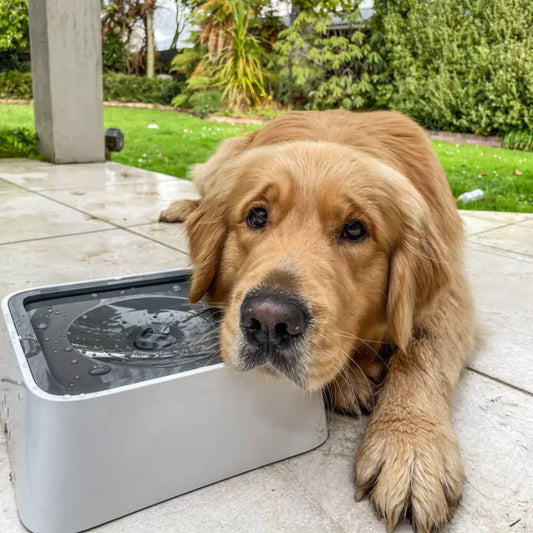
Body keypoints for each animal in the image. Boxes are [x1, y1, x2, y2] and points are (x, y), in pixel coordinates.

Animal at [159, 110, 474, 528]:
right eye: (257, 216)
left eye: (355, 229)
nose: (269, 322)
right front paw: (351, 381)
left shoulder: (450, 294)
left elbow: (422, 350)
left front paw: (410, 444)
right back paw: (183, 207)